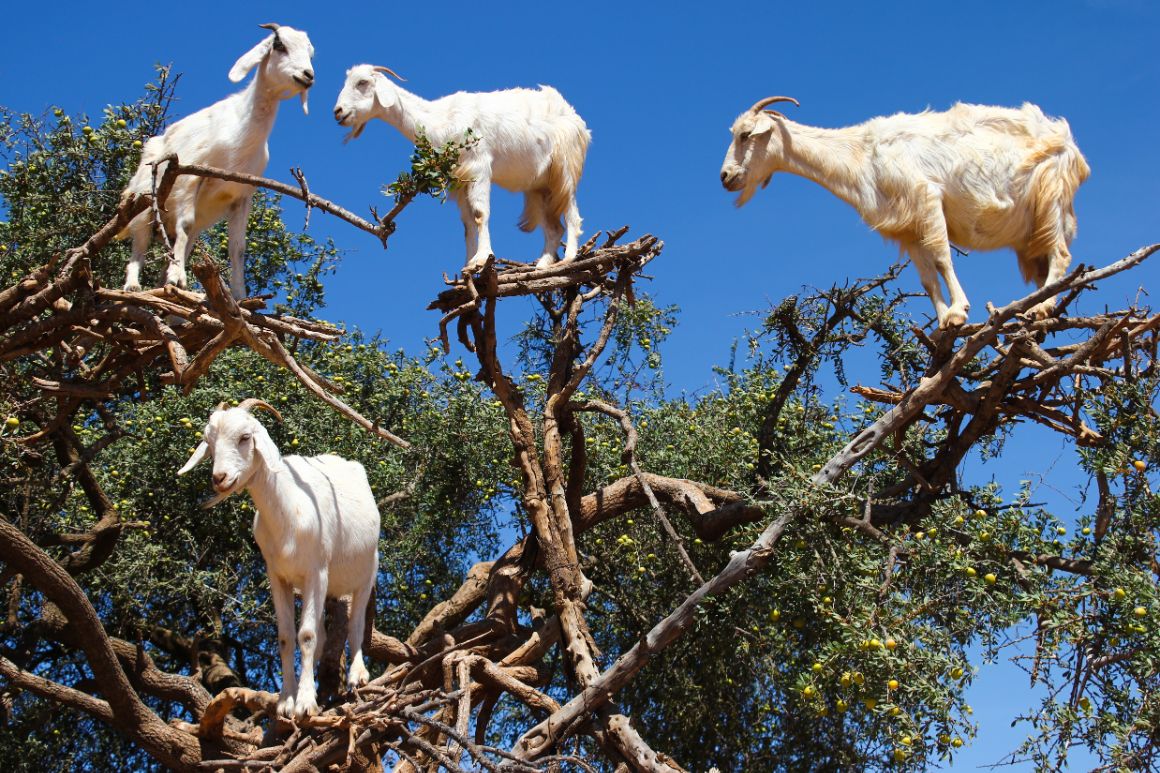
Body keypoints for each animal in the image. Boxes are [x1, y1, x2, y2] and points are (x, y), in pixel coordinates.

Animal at [120, 21, 315, 297]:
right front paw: (178, 278)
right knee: (140, 242)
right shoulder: (190, 177)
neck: (240, 131)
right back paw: (134, 285)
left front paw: (241, 296)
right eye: (279, 45)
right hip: (144, 202)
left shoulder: (241, 195)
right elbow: (186, 224)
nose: (308, 75)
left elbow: (238, 248)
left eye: (310, 53)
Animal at [175, 396, 380, 714]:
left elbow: (306, 635)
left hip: (367, 572)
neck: (289, 508)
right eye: (209, 442)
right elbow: (286, 637)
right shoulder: (277, 576)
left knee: (356, 624)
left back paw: (356, 676)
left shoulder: (316, 571)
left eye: (245, 437)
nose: (220, 478)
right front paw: (287, 700)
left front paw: (305, 703)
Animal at [334, 64, 589, 272]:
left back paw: (568, 258)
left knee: (572, 213)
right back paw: (543, 263)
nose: (338, 112)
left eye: (362, 82)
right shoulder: (458, 180)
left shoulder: (479, 167)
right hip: (538, 186)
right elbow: (467, 224)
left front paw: (482, 259)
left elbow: (479, 214)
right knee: (554, 227)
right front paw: (467, 266)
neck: (441, 119)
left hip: (564, 169)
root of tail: (577, 119)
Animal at [719, 96, 1090, 324]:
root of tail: (1071, 145)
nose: (725, 177)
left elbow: (942, 257)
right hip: (1031, 232)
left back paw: (1041, 307)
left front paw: (959, 312)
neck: (861, 154)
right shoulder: (907, 227)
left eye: (746, 134)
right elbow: (926, 277)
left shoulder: (927, 198)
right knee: (1045, 265)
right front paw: (942, 324)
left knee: (1060, 255)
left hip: (1050, 196)